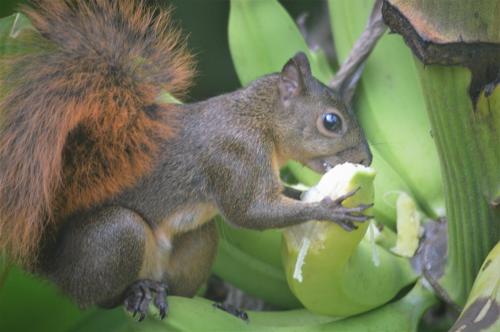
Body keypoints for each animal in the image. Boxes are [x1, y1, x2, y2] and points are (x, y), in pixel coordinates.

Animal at [0, 0, 372, 322]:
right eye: (331, 121)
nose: (367, 158)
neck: (258, 120)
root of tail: (54, 268)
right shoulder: (233, 154)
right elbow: (248, 213)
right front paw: (329, 209)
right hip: (115, 236)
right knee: (100, 297)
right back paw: (137, 291)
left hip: (198, 240)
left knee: (181, 285)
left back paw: (204, 303)